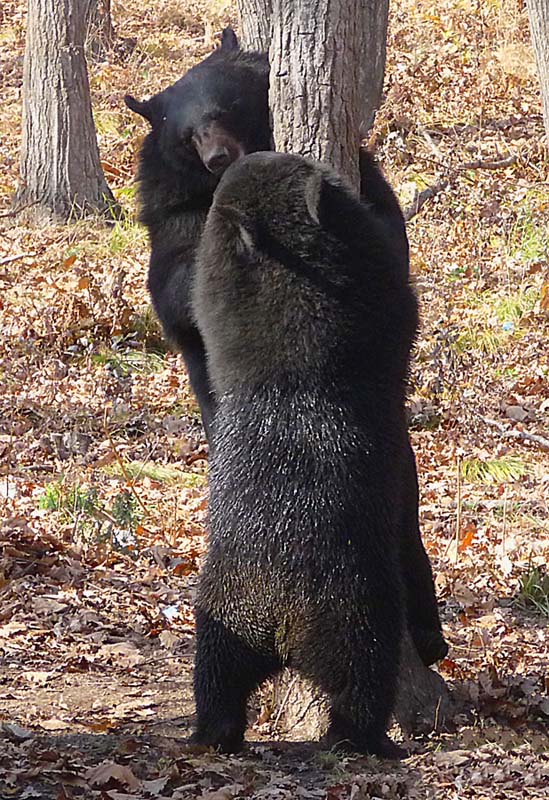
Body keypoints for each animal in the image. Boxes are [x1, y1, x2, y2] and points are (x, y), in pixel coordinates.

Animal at [191, 150, 418, 756]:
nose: (237, 155)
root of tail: (279, 618)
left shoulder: (222, 302)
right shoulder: (373, 300)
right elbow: (394, 281)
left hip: (220, 619)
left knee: (216, 678)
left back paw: (212, 733)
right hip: (359, 616)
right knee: (362, 684)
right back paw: (362, 739)